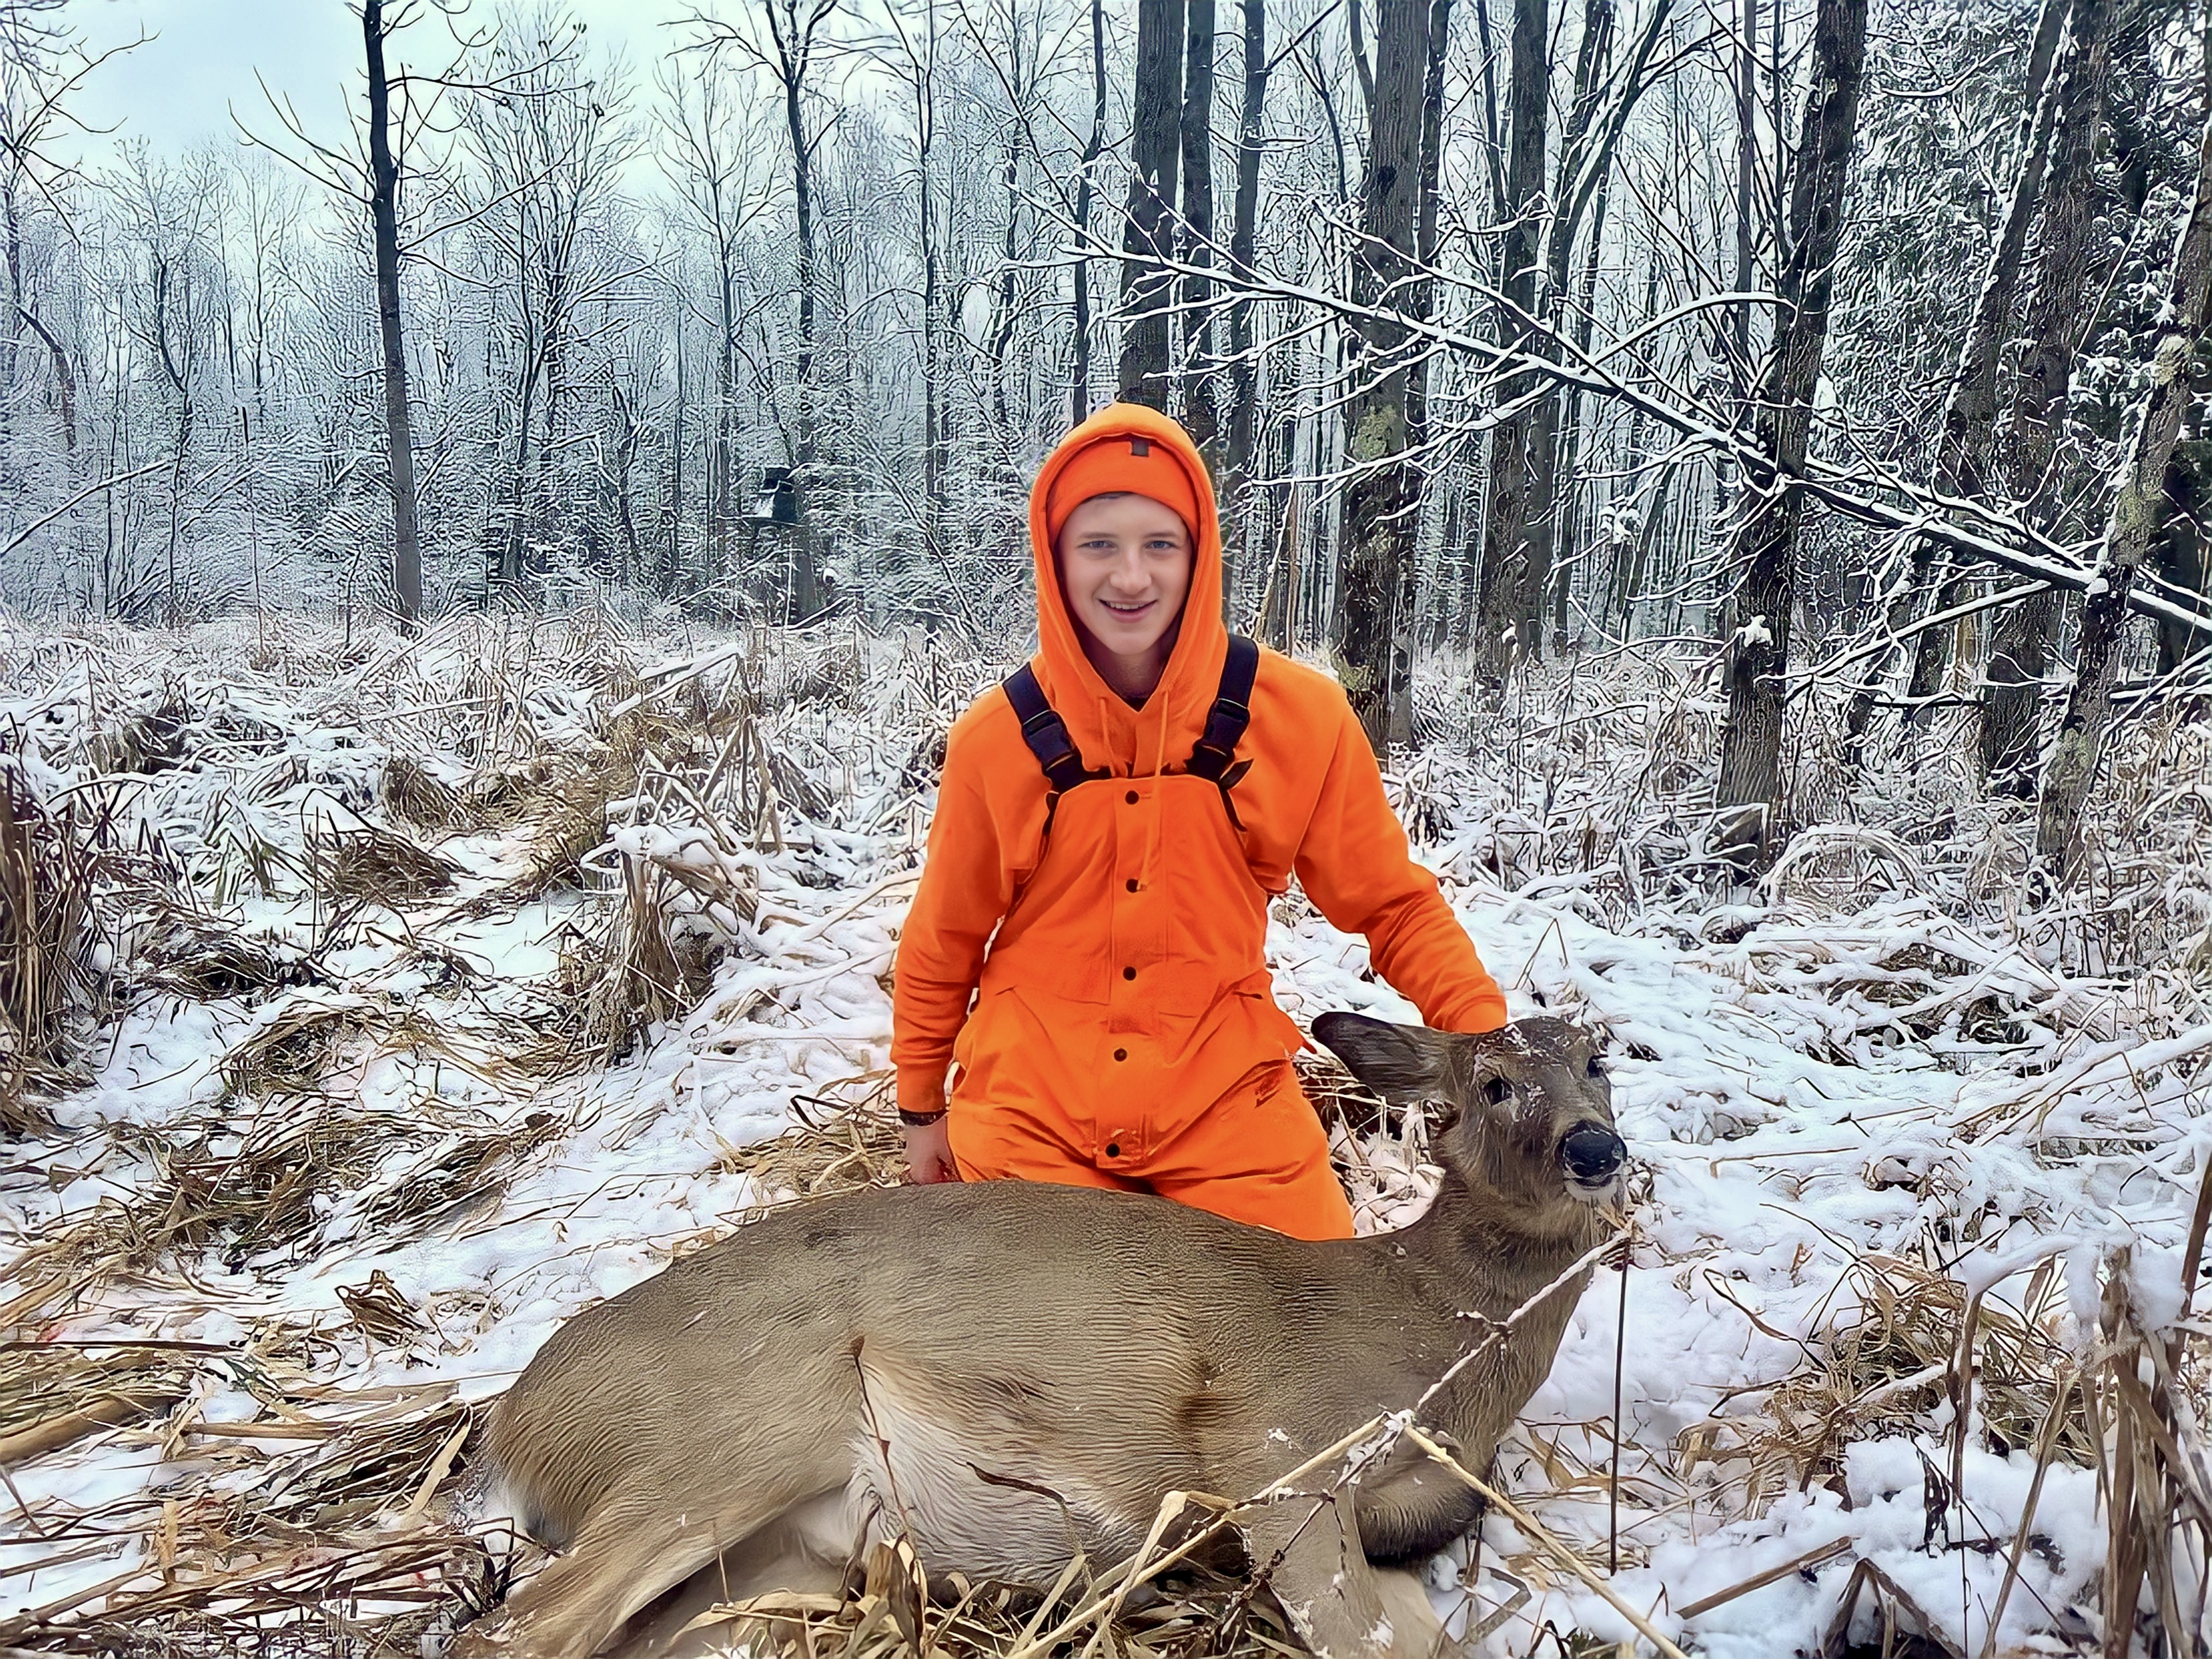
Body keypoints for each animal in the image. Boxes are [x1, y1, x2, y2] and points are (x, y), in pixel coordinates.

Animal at [453, 1013, 1628, 1659]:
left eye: (1598, 1060)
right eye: (1493, 1083)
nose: (1597, 1149)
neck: (1432, 1327)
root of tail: (513, 1422)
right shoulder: (1280, 1445)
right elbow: (1362, 1636)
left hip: (777, 1554)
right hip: (719, 1442)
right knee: (514, 1627)